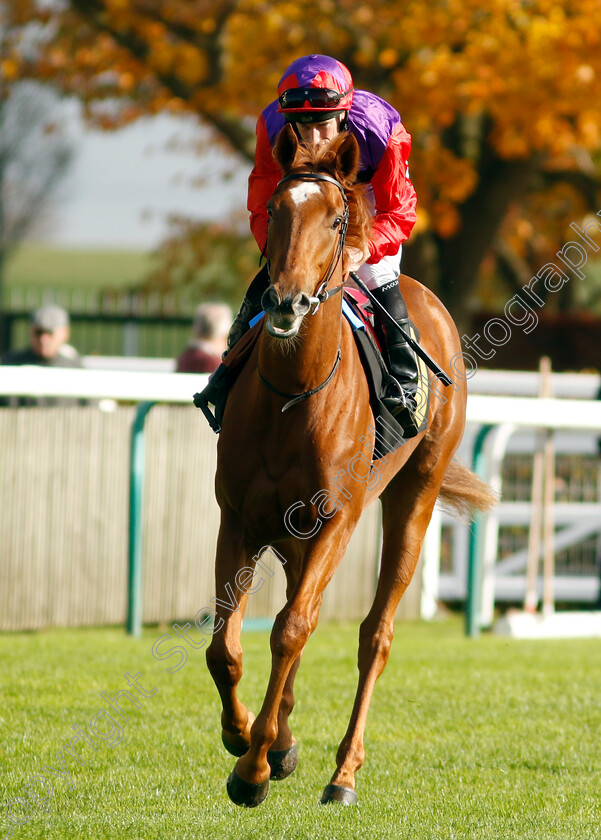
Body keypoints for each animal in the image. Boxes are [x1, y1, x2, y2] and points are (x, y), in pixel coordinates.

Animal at [205, 124, 492, 808]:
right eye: (275, 210)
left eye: (336, 219)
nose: (284, 301)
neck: (293, 397)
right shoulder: (240, 519)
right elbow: (225, 646)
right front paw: (246, 736)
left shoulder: (336, 519)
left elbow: (290, 631)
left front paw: (253, 769)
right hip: (292, 536)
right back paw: (284, 740)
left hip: (412, 497)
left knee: (373, 635)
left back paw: (342, 774)